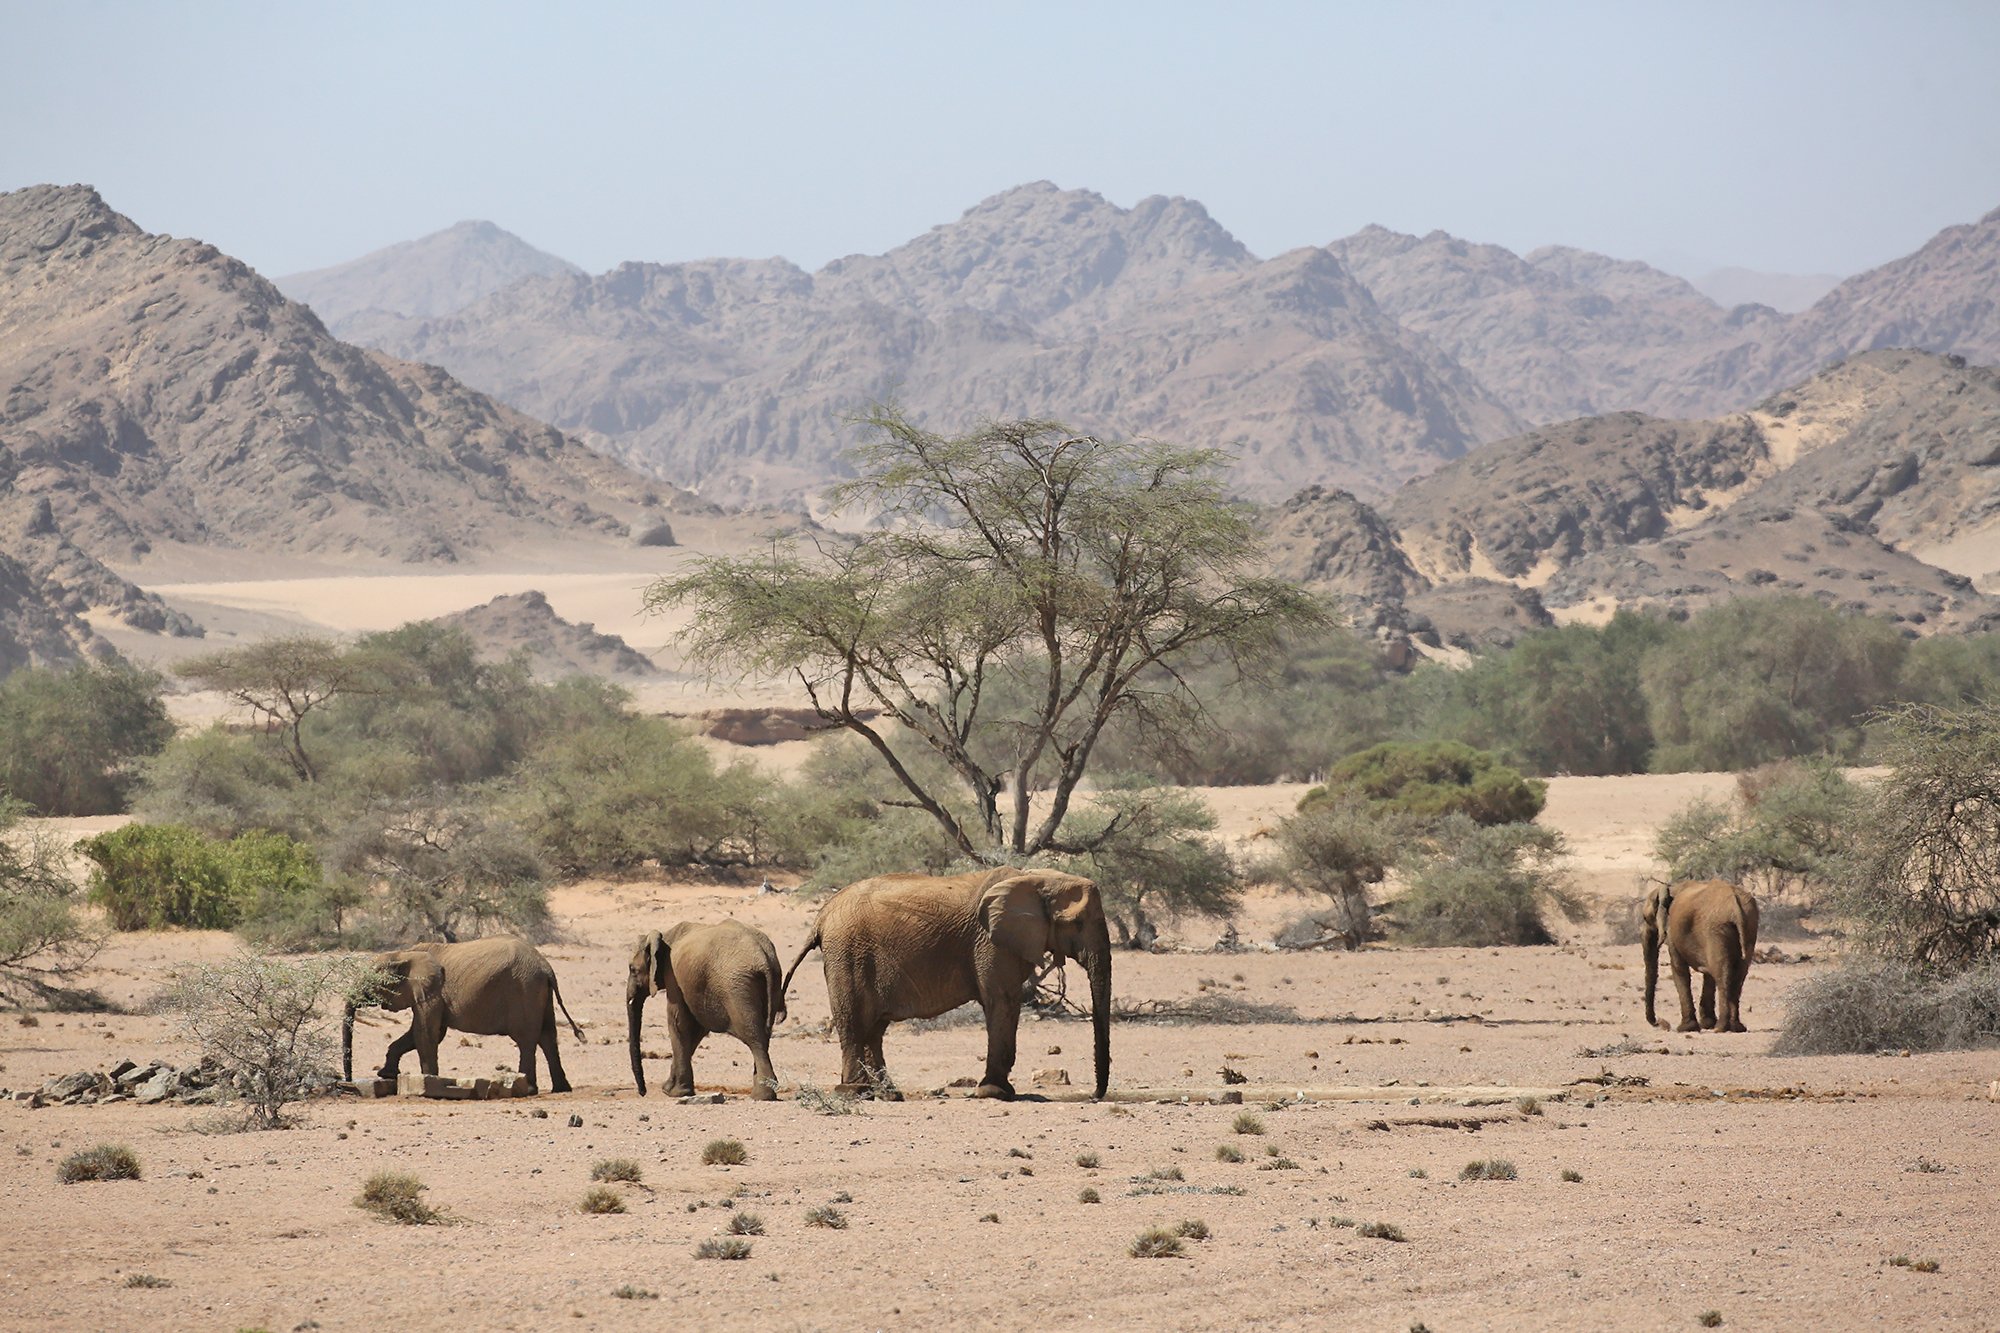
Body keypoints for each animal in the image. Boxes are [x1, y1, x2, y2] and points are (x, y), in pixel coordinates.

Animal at [343, 937, 584, 1092]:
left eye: (370, 981)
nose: (348, 1081)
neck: (405, 953)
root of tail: (546, 967)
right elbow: (423, 1033)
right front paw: (387, 1075)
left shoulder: (432, 991)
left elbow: (426, 1033)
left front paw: (430, 1080)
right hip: (539, 993)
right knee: (548, 1037)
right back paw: (561, 1089)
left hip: (525, 989)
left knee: (527, 1039)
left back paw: (529, 1088)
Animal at [626, 920, 787, 1100]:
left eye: (633, 969)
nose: (643, 1092)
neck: (665, 936)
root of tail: (764, 959)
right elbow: (696, 1030)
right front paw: (668, 1088)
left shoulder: (673, 976)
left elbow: (678, 1022)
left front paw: (675, 1093)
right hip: (772, 984)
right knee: (764, 1036)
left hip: (737, 988)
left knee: (754, 1037)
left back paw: (761, 1096)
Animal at [781, 867, 1112, 1102]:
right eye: (1078, 924)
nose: (1094, 1097)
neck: (1036, 879)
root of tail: (822, 915)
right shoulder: (991, 943)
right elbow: (1002, 1000)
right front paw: (996, 1093)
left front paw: (997, 1091)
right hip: (847, 953)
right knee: (853, 1024)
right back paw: (854, 1093)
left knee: (874, 1029)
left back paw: (888, 1094)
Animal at [1643, 879, 1760, 1033]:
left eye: (1645, 918)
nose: (1661, 1023)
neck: (1671, 888)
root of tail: (1735, 905)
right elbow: (1707, 975)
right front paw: (1706, 1024)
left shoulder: (1672, 931)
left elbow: (1679, 970)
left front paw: (1686, 1028)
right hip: (1749, 927)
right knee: (1739, 974)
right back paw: (1736, 1027)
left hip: (1716, 930)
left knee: (1722, 974)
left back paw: (1720, 1028)